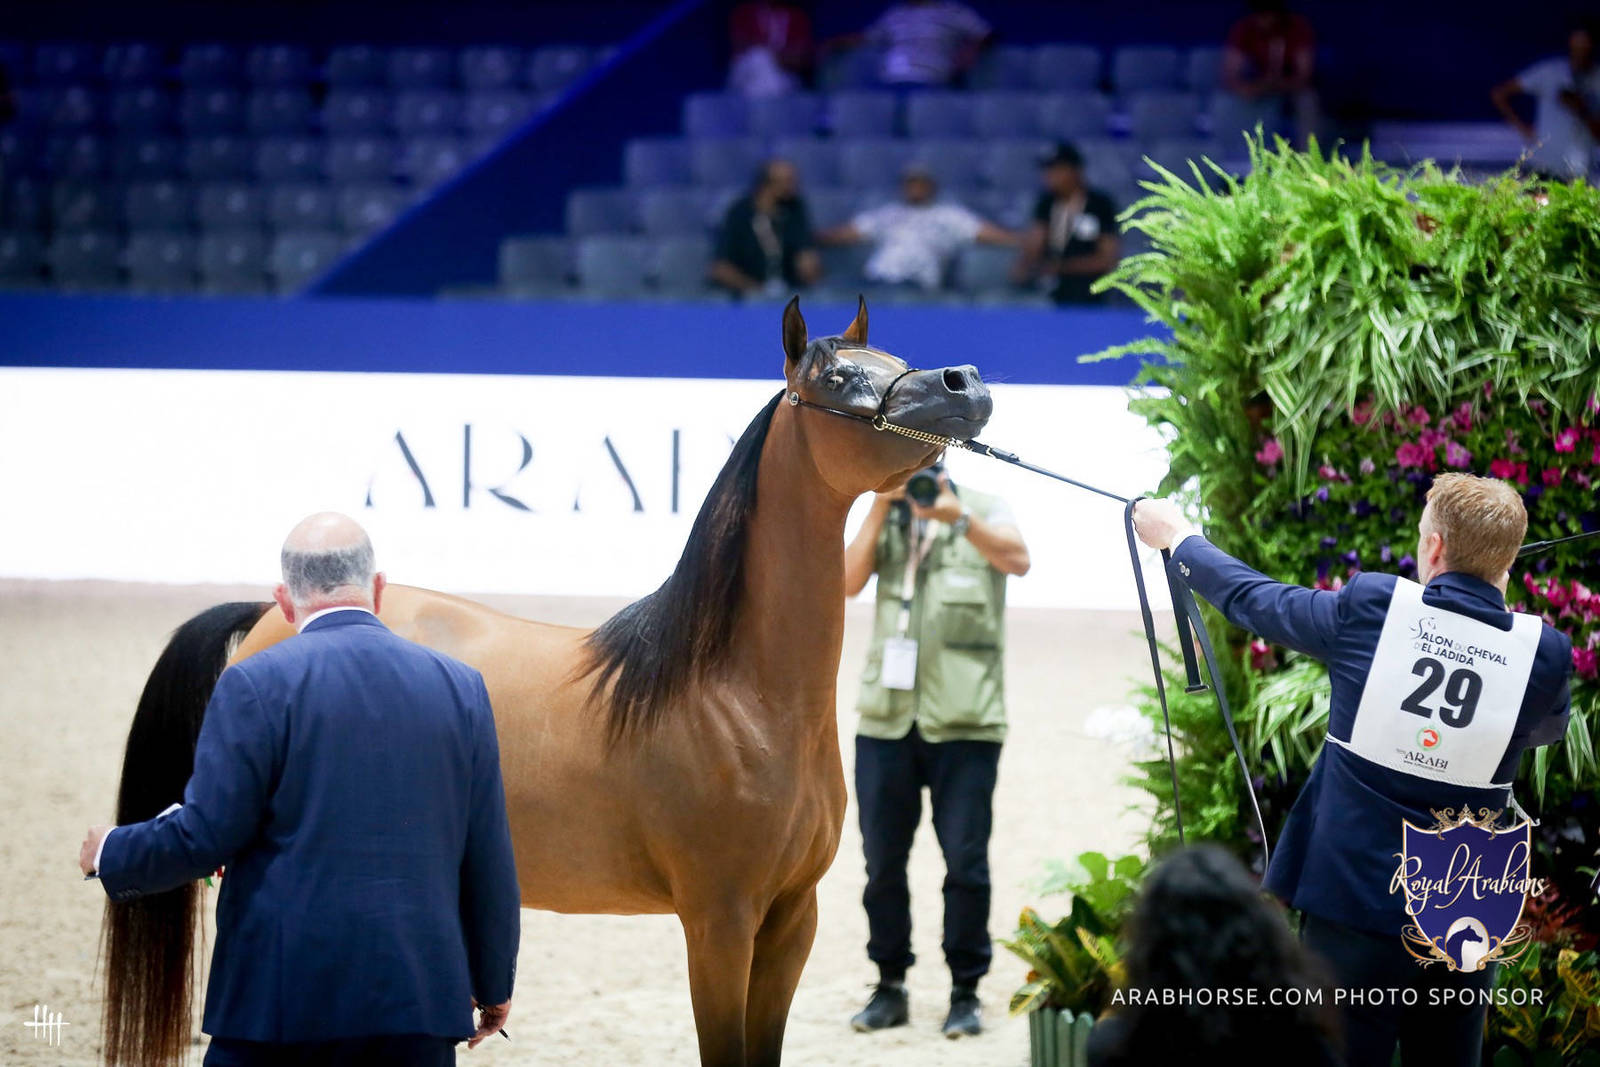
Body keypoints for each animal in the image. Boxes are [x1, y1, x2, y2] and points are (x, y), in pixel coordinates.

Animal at [101, 296, 994, 1067]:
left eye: (898, 359)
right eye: (836, 378)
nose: (966, 384)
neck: (741, 699)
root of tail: (271, 614)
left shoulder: (788, 920)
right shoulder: (719, 921)